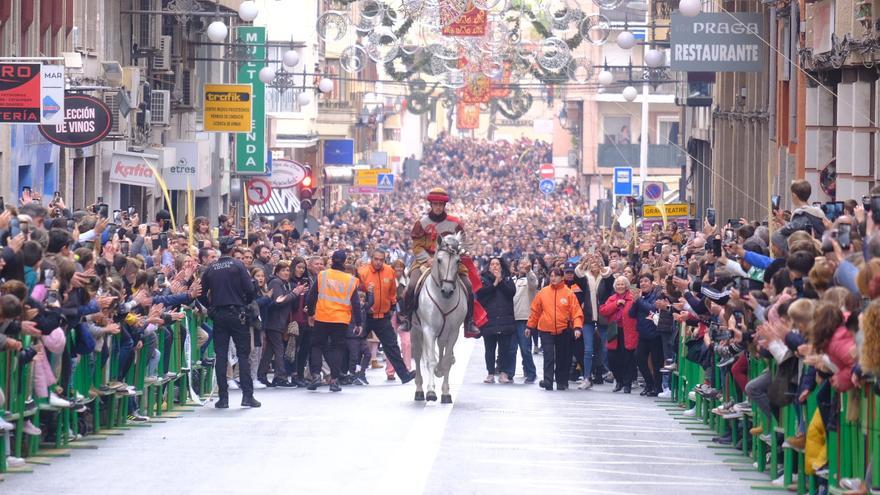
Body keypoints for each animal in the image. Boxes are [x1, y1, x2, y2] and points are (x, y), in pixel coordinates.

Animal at [412, 232, 468, 404]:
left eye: (458, 261)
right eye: (439, 260)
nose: (447, 291)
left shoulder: (454, 332)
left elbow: (447, 361)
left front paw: (445, 393)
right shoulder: (428, 330)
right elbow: (430, 360)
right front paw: (431, 391)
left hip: (443, 333)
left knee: (442, 349)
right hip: (415, 330)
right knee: (417, 355)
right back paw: (419, 390)